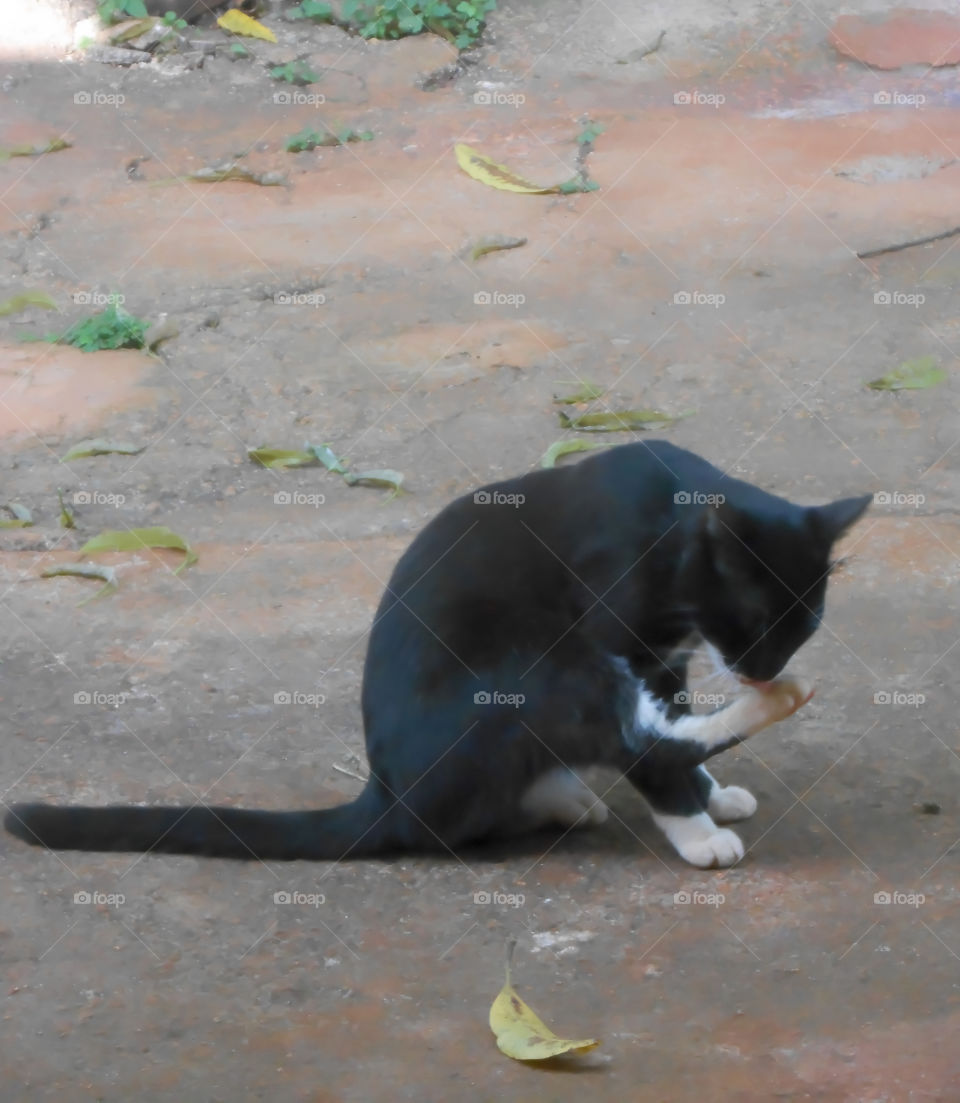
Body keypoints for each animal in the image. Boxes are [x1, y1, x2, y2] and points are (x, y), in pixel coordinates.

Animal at [3, 438, 873, 869]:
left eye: (807, 622)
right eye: (756, 617)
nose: (767, 664)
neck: (669, 524)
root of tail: (389, 799)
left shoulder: (668, 656)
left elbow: (673, 709)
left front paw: (711, 793)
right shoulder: (619, 626)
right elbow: (650, 749)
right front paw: (694, 824)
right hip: (537, 664)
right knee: (615, 730)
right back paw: (772, 708)